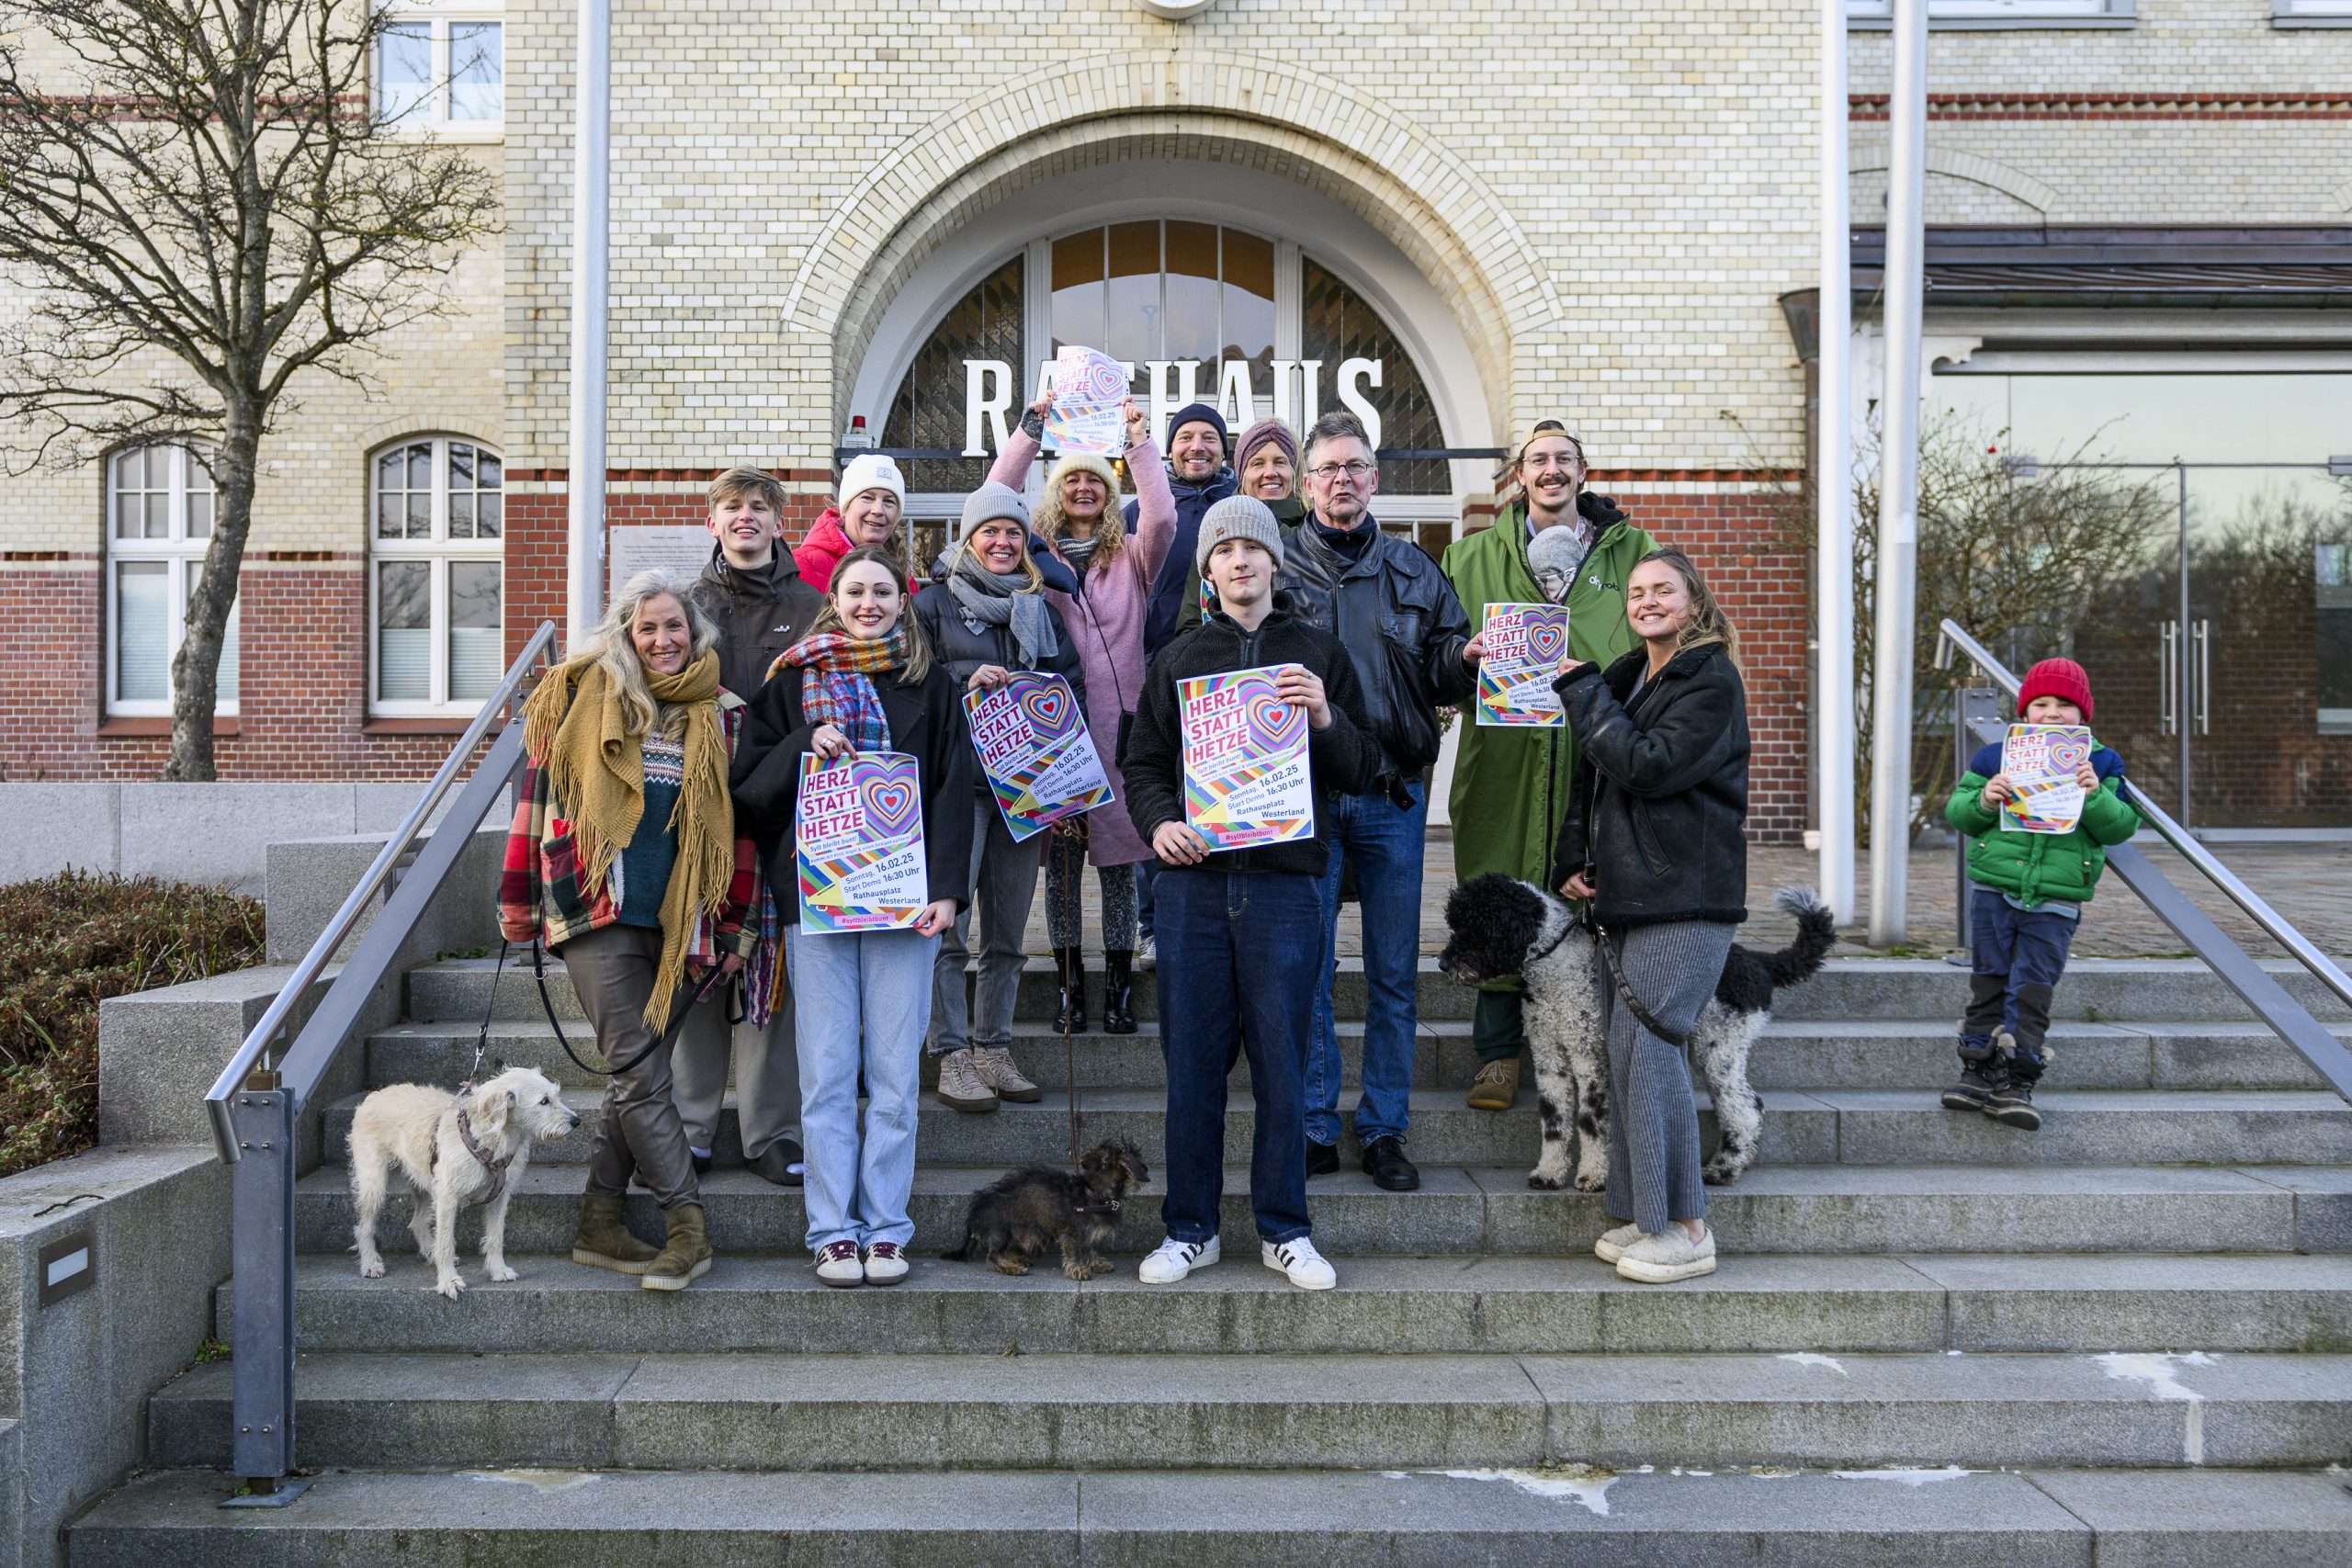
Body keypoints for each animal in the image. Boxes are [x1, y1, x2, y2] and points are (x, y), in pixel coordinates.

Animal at [347, 1066, 578, 1297]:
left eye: (556, 1095)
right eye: (544, 1101)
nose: (577, 1122)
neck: (490, 1138)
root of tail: (375, 1095)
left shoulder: (499, 1198)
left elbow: (495, 1237)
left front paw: (498, 1270)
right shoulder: (447, 1198)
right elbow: (446, 1242)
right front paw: (449, 1281)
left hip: (425, 1183)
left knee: (417, 1222)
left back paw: (429, 1253)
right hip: (374, 1185)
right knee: (364, 1227)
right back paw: (370, 1263)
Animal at [1430, 879, 1834, 1194]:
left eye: (1476, 925)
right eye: (1456, 923)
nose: (1444, 963)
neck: (1560, 968)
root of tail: (1759, 962)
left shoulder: (1588, 1055)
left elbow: (1589, 1121)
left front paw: (1593, 1177)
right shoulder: (1550, 1058)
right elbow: (1554, 1121)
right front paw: (1549, 1173)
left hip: (1720, 1050)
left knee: (1745, 1109)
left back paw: (1723, 1169)